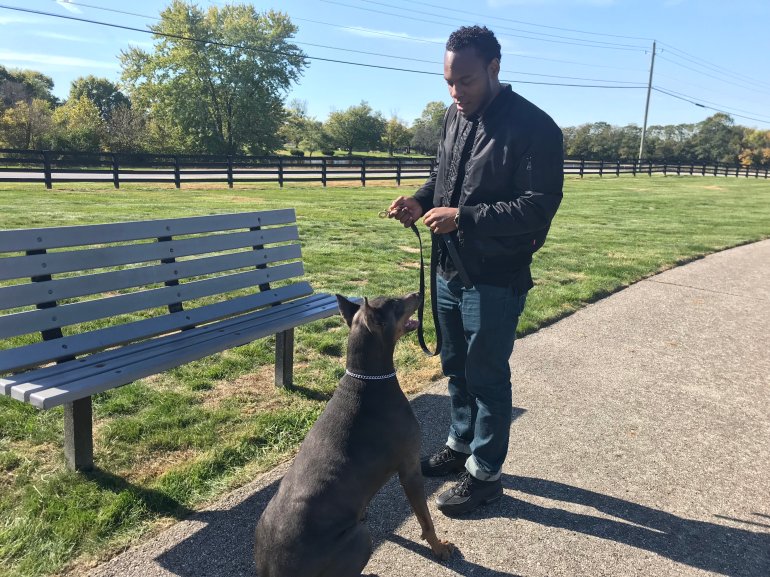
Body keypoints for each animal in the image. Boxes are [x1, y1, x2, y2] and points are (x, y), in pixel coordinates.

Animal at [255, 292, 452, 576]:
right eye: (395, 303)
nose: (418, 294)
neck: (367, 379)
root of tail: (272, 568)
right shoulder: (410, 467)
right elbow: (425, 519)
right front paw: (439, 547)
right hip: (360, 537)